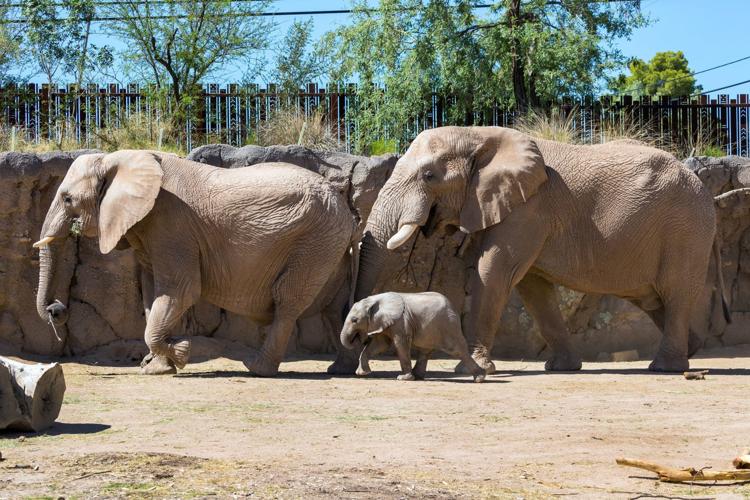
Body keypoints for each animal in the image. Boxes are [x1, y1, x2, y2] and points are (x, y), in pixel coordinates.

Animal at [32, 150, 356, 376]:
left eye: (67, 199)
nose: (56, 310)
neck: (117, 159)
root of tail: (347, 210)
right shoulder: (150, 227)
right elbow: (153, 293)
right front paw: (158, 367)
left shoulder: (170, 222)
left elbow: (181, 290)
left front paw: (181, 353)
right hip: (328, 244)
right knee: (335, 306)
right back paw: (341, 369)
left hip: (314, 240)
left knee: (287, 301)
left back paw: (256, 368)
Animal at [342, 292, 488, 380]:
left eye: (354, 320)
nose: (359, 338)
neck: (374, 299)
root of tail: (453, 306)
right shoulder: (385, 322)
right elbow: (380, 345)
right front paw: (362, 373)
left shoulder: (401, 321)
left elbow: (400, 344)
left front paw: (403, 378)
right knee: (426, 351)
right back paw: (418, 377)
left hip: (448, 325)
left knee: (457, 350)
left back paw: (480, 378)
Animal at [356, 127, 732, 374]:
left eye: (429, 176)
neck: (478, 134)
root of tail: (707, 193)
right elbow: (532, 287)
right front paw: (561, 368)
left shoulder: (528, 209)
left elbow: (495, 271)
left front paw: (473, 369)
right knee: (655, 299)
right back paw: (692, 348)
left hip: (685, 229)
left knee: (675, 293)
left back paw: (664, 367)